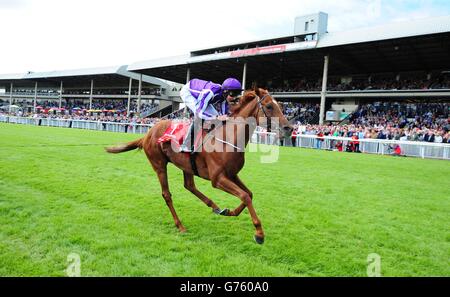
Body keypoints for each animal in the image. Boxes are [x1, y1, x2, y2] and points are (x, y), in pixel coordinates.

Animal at [107, 87, 294, 243]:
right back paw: (180, 225)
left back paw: (215, 207)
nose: (289, 128)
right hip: (159, 164)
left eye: (280, 105)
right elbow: (245, 196)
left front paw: (230, 211)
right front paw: (259, 233)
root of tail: (147, 134)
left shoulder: (232, 174)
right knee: (167, 194)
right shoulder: (217, 179)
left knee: (189, 185)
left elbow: (249, 194)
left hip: (186, 165)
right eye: (269, 106)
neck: (228, 138)